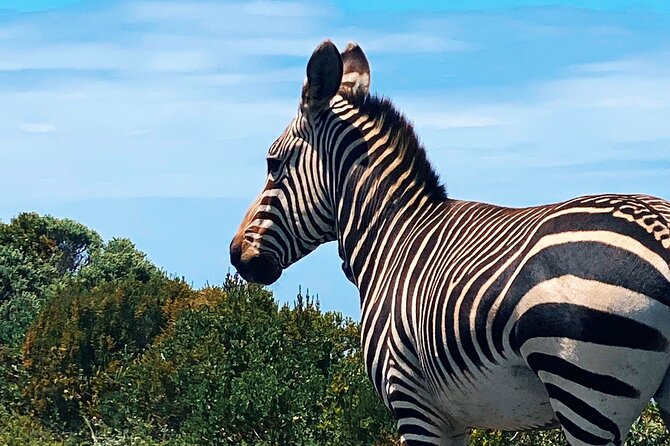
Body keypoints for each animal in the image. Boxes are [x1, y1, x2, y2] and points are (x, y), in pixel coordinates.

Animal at [230, 40, 670, 444]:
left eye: (272, 163)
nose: (237, 255)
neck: (392, 237)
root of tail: (659, 228)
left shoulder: (413, 402)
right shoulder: (450, 418)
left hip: (584, 389)